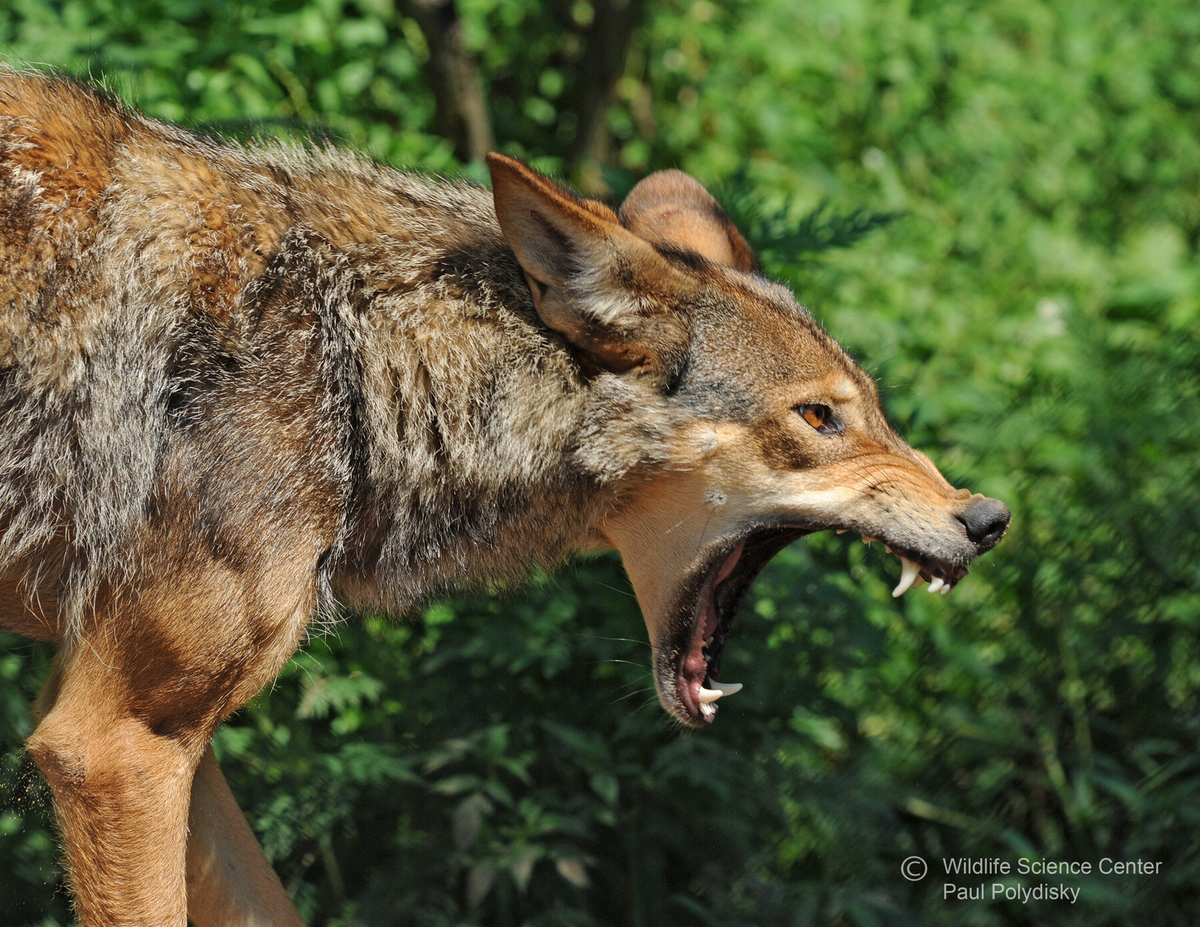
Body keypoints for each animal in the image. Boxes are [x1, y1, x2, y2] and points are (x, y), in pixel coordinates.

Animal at [0, 70, 1008, 927]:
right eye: (818, 417)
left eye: (873, 407)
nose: (988, 519)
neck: (360, 363)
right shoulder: (111, 742)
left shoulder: (149, 732)